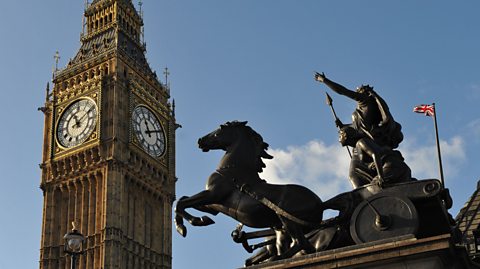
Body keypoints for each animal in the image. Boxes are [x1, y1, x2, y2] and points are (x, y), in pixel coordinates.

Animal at [174, 121, 324, 258]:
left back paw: (275, 259)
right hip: (283, 227)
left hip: (287, 218)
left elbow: (180, 204)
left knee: (301, 242)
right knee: (305, 247)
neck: (233, 171)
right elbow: (182, 200)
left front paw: (189, 225)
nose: (200, 141)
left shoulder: (212, 194)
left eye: (221, 127)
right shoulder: (214, 206)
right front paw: (198, 221)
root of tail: (320, 203)